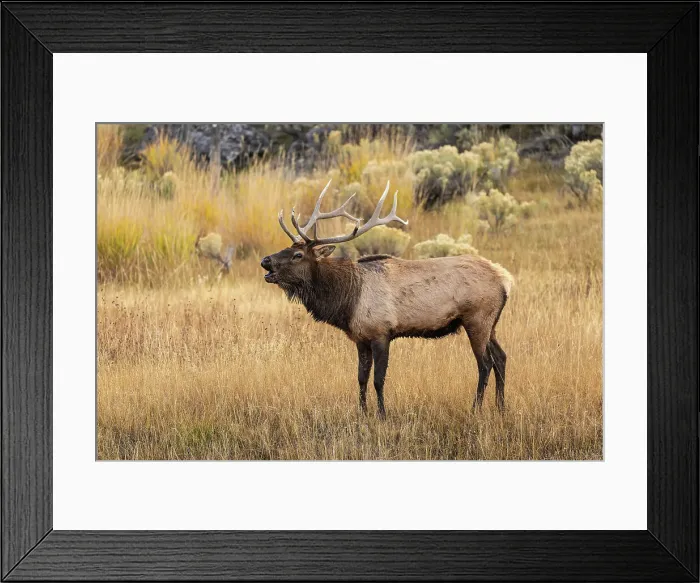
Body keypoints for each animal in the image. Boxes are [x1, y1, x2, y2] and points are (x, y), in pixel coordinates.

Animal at [261, 180, 513, 419]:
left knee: (485, 363)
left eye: (298, 255)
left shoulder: (381, 332)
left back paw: (475, 409)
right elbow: (361, 378)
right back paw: (501, 407)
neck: (347, 300)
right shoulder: (360, 338)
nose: (265, 261)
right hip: (490, 323)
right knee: (501, 357)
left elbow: (378, 379)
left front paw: (382, 414)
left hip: (477, 318)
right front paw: (362, 412)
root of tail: (505, 279)